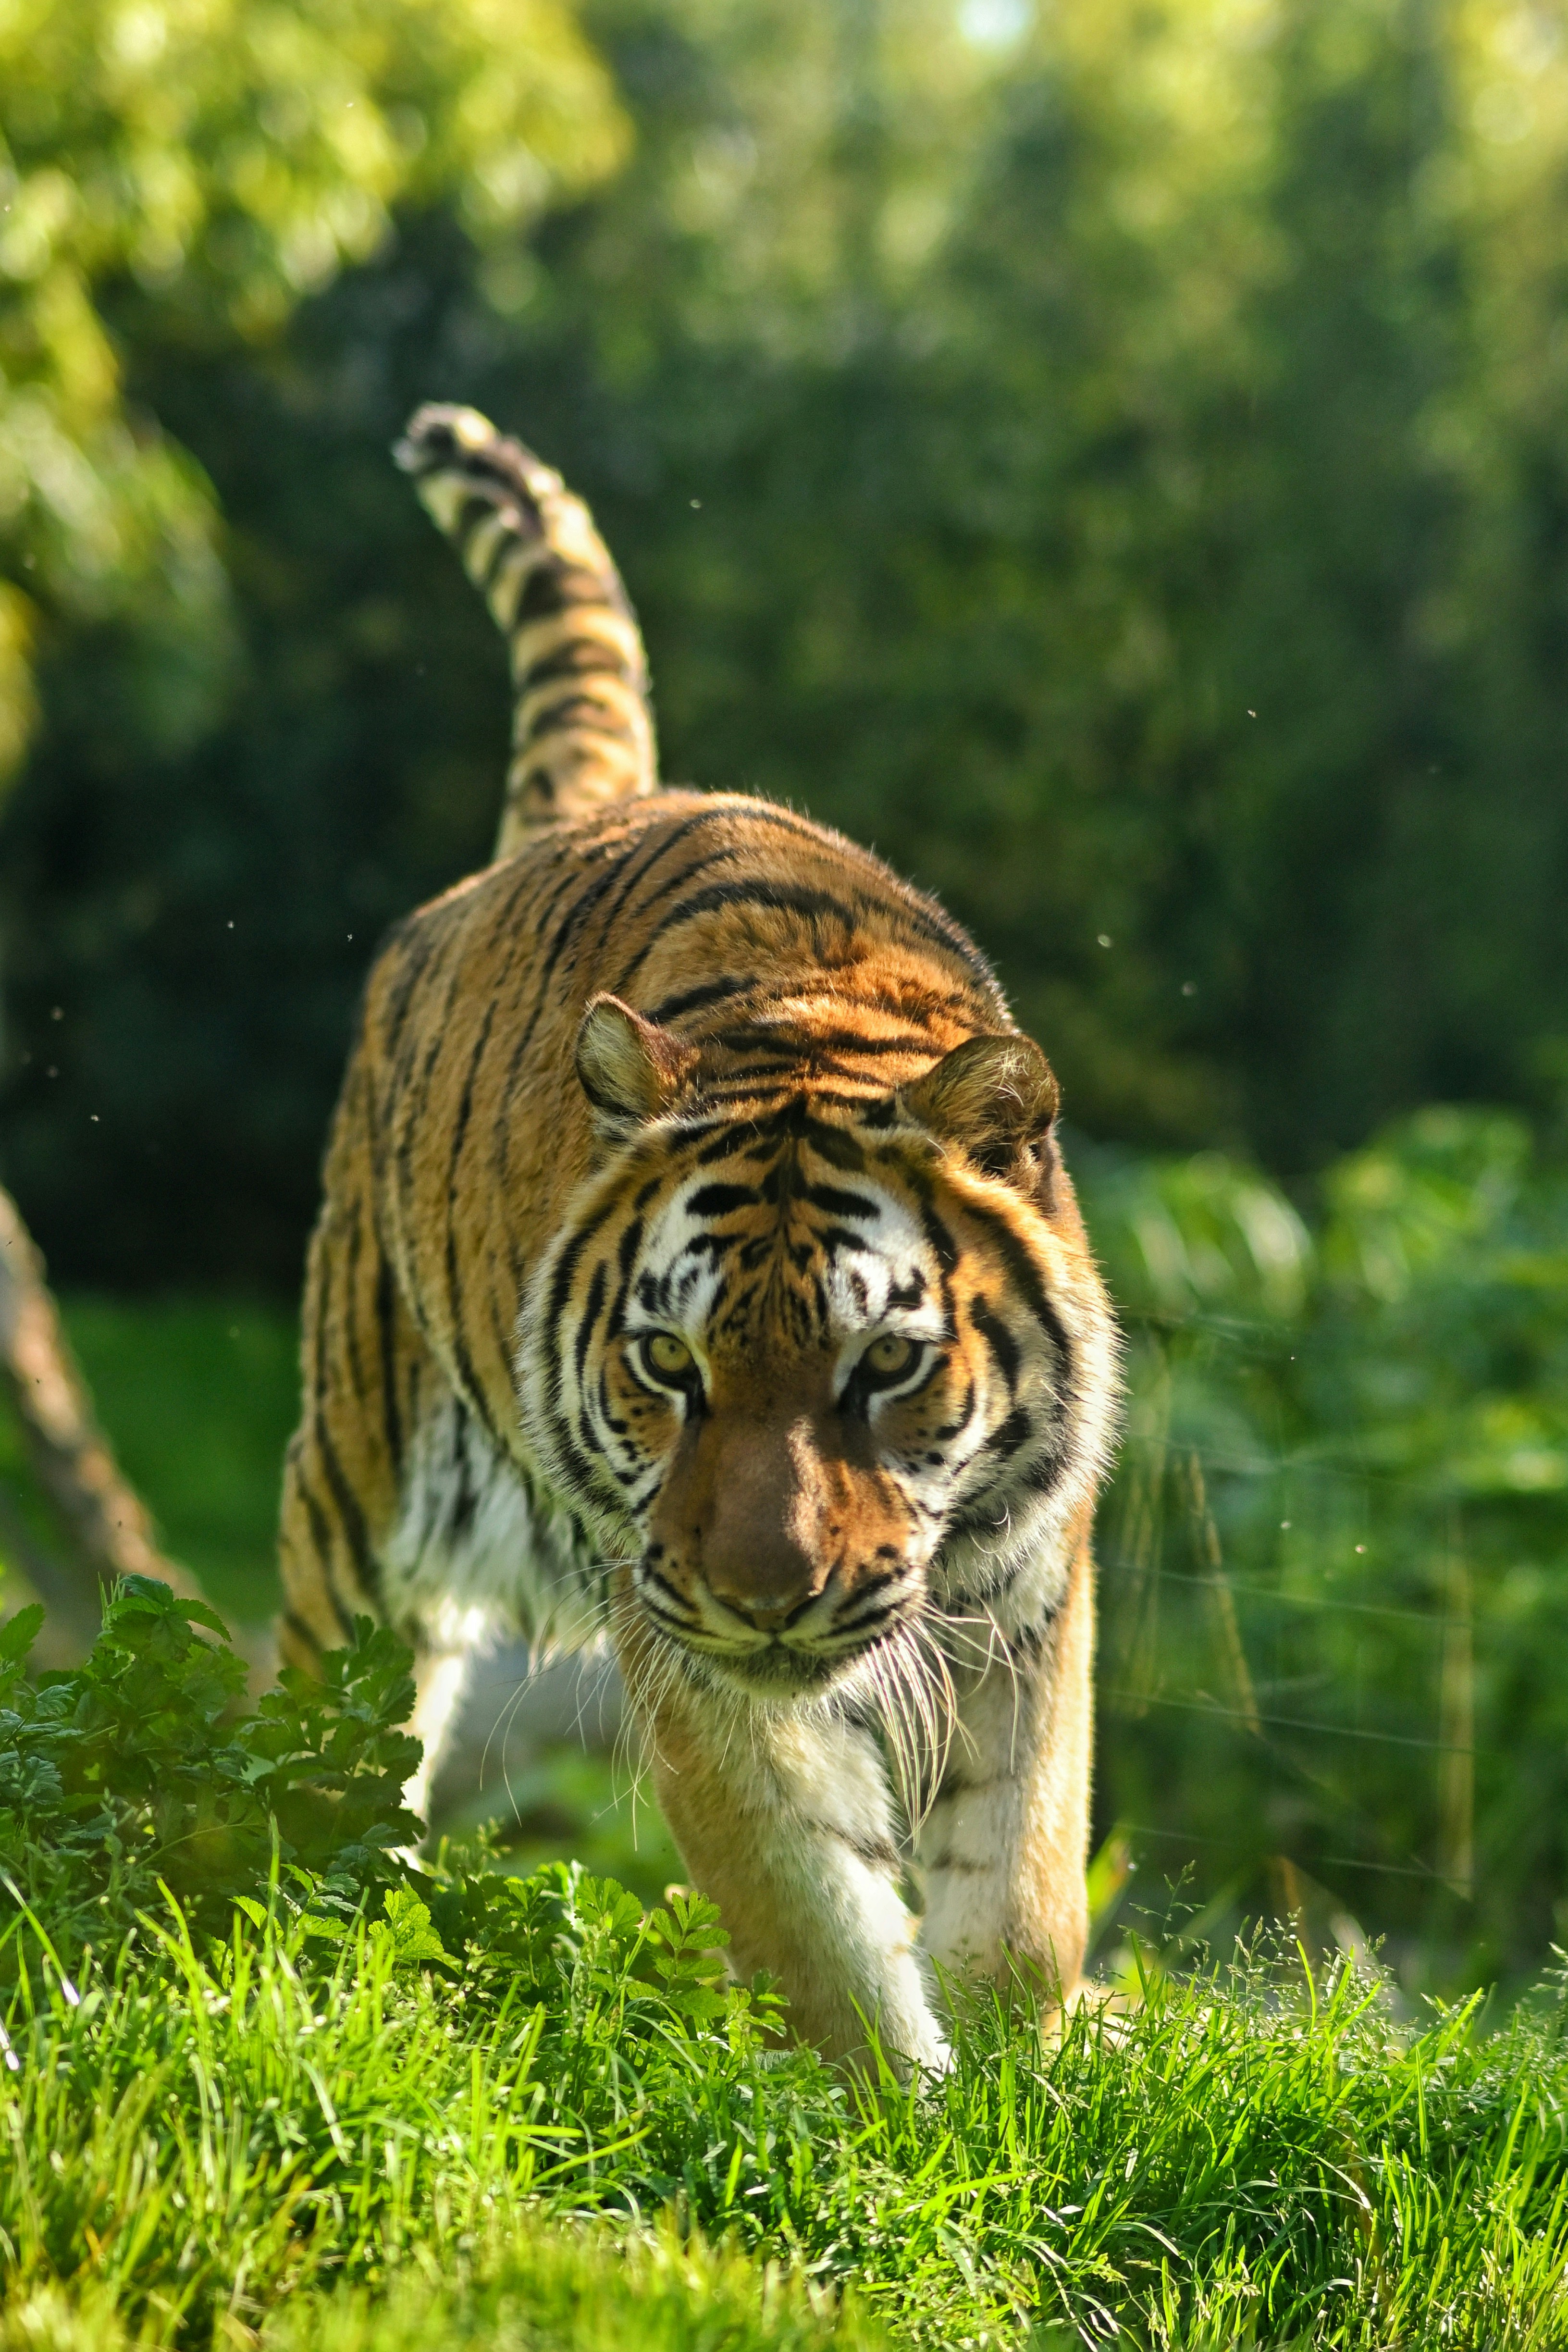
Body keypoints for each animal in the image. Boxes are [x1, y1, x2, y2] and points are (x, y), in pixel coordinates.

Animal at [278, 403, 1121, 2070]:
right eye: (669, 1365)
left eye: (883, 1366)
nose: (764, 1592)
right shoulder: (685, 1634)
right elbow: (807, 1898)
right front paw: (898, 2102)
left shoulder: (1029, 1586)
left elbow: (1025, 1878)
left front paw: (1017, 2071)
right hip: (359, 1480)